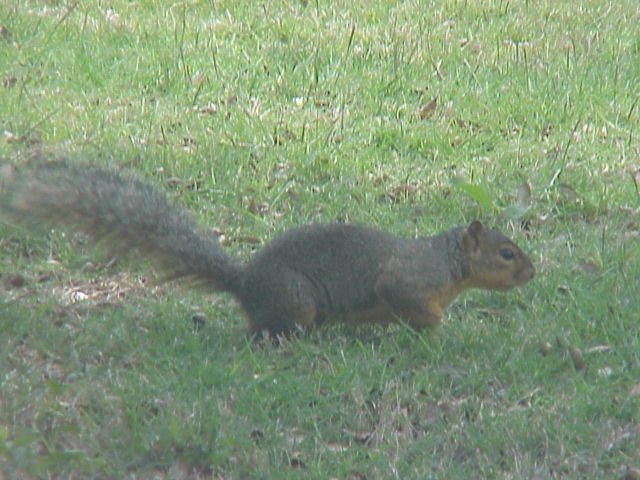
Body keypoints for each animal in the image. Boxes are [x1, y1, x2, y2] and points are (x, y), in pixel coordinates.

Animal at [1, 163, 536, 336]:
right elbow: (411, 307)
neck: (447, 262)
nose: (532, 273)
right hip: (296, 301)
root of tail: (244, 285)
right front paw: (435, 328)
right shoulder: (406, 282)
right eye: (507, 253)